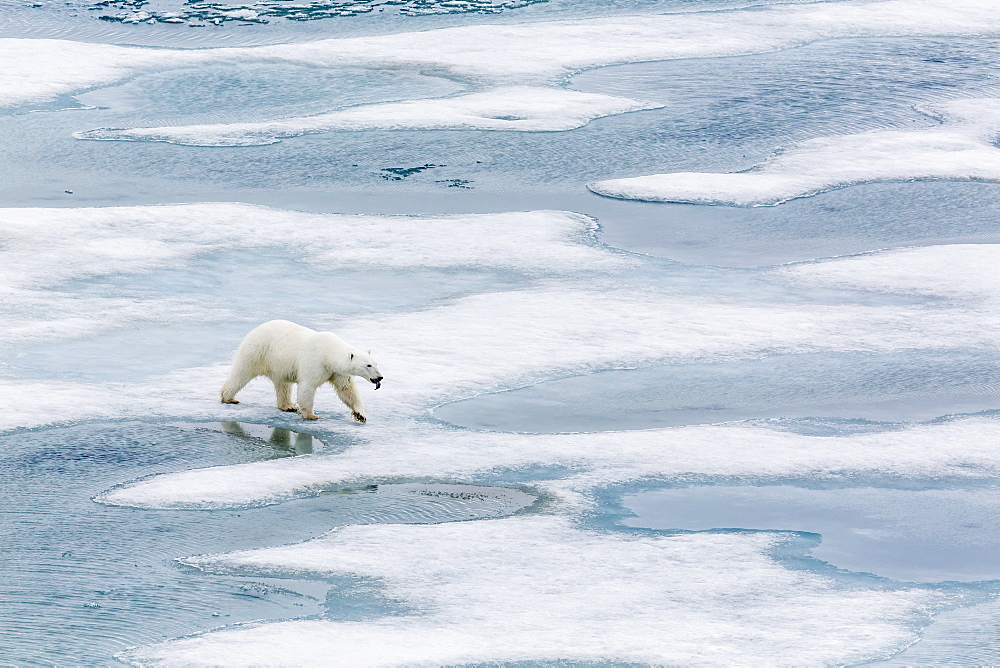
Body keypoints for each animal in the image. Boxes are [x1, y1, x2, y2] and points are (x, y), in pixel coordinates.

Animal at [220, 320, 382, 422]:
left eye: (376, 363)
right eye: (368, 365)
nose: (380, 378)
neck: (328, 352)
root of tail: (255, 329)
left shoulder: (337, 372)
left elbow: (347, 390)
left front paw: (361, 415)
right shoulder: (315, 362)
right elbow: (307, 386)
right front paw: (311, 415)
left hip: (279, 363)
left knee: (283, 385)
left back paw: (288, 406)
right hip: (258, 351)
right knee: (242, 373)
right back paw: (228, 397)